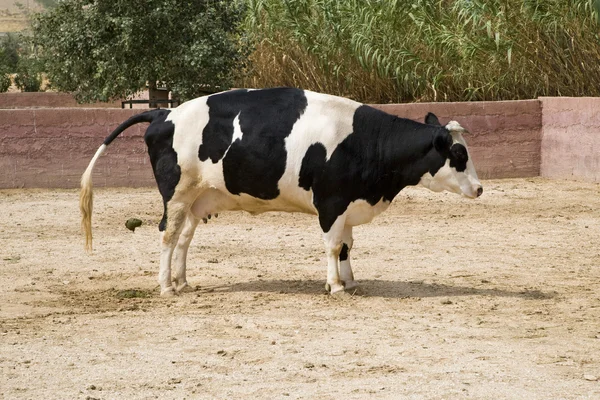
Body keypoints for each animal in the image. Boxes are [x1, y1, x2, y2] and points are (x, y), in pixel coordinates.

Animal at [79, 86, 482, 294]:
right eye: (459, 154)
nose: (479, 188)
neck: (366, 142)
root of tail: (164, 113)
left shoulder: (347, 204)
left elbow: (347, 245)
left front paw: (350, 281)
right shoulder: (331, 202)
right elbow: (333, 246)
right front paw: (335, 286)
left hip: (197, 200)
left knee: (183, 239)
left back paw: (183, 282)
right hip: (176, 195)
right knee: (166, 235)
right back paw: (165, 286)